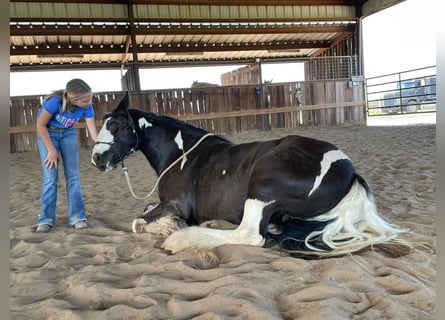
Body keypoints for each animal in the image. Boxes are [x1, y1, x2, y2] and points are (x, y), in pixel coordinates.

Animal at [90, 92, 406, 258]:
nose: (96, 159)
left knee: (250, 235)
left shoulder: (176, 204)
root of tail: (348, 171)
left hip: (261, 186)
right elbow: (145, 212)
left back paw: (186, 238)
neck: (182, 155)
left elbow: (139, 222)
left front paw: (169, 230)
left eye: (116, 126)